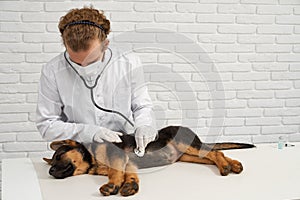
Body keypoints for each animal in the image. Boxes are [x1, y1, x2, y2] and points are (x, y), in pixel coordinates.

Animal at [43, 126, 254, 196]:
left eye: (59, 156)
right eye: (51, 163)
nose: (50, 172)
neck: (91, 156)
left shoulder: (117, 158)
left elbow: (114, 172)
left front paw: (112, 185)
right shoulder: (128, 162)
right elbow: (128, 175)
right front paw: (130, 185)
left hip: (187, 144)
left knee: (215, 153)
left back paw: (227, 166)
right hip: (188, 155)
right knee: (215, 154)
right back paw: (233, 164)